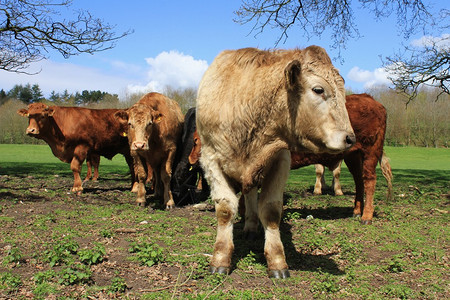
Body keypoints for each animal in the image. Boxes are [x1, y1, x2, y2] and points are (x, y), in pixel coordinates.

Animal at [196, 45, 356, 278]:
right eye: (318, 90)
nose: (350, 138)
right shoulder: (210, 158)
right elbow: (225, 210)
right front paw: (220, 258)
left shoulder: (280, 159)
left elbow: (270, 210)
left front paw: (277, 261)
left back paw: (252, 227)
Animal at [292, 92, 394, 224]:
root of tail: (368, 97)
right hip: (353, 156)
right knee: (359, 180)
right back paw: (357, 212)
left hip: (371, 151)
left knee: (369, 179)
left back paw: (366, 216)